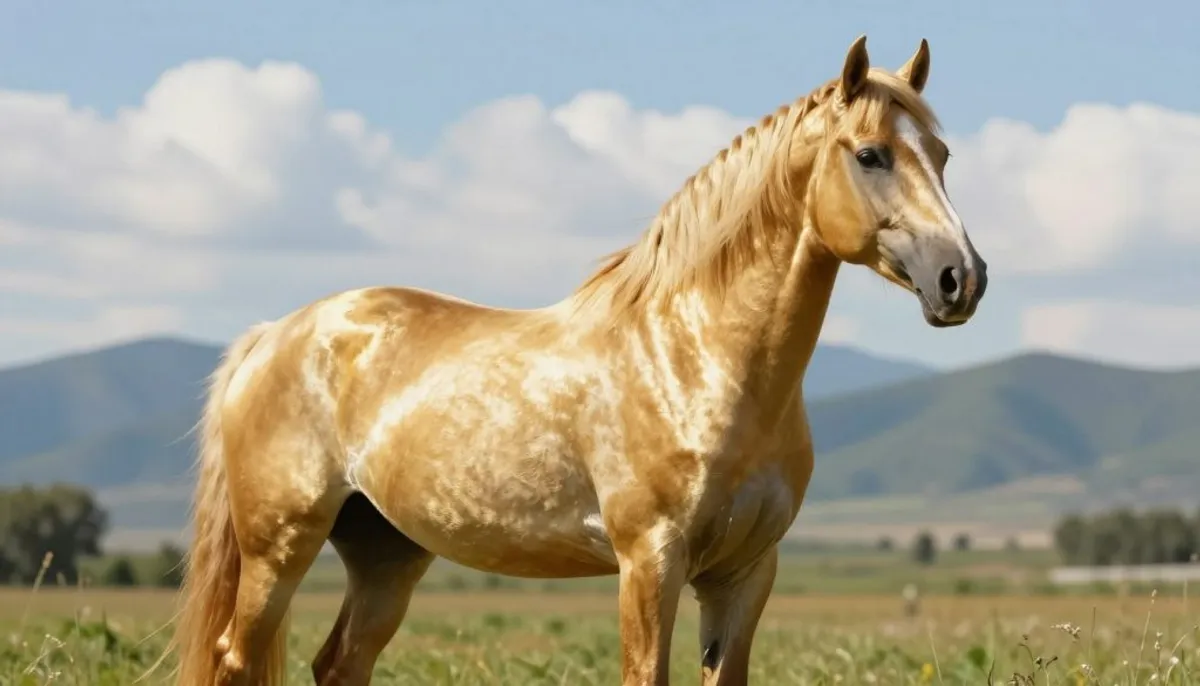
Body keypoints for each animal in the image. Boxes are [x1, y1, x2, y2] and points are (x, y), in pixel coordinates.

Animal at [163, 34, 987, 686]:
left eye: (942, 154)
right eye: (871, 155)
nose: (962, 278)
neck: (699, 360)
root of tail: (275, 334)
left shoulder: (745, 573)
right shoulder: (649, 561)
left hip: (386, 555)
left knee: (340, 662)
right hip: (279, 547)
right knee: (236, 659)